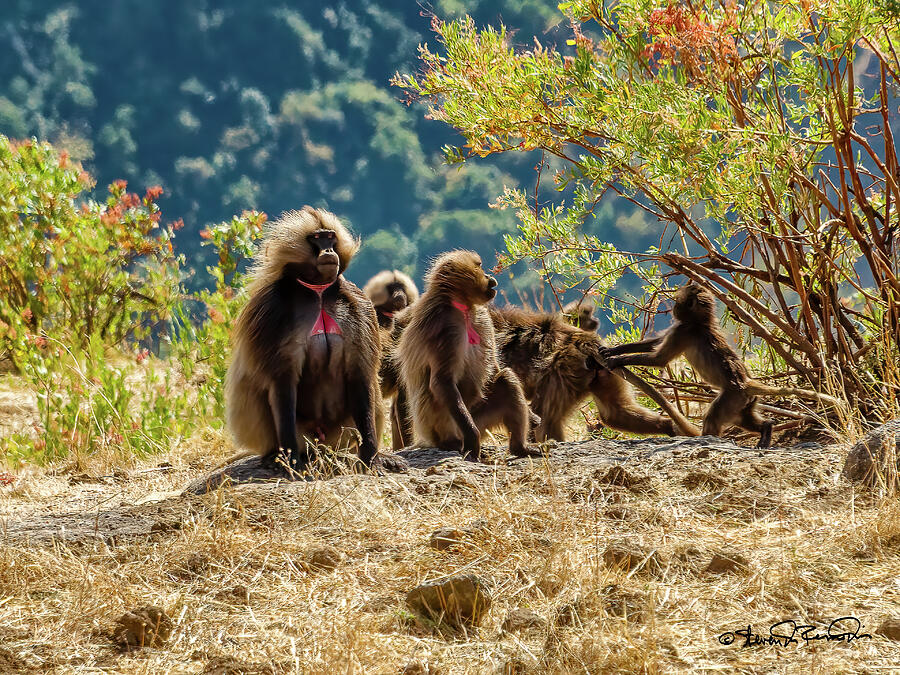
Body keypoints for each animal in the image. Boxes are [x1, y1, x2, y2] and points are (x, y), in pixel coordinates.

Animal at [224, 206, 383, 470]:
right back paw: (274, 456)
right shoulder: (272, 311)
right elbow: (282, 381)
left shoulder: (360, 305)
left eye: (330, 237)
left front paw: (372, 456)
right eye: (317, 238)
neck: (318, 293)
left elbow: (360, 375)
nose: (329, 251)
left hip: (338, 435)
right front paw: (291, 461)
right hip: (302, 435)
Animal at [396, 250, 534, 460]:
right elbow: (442, 381)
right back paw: (458, 444)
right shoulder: (444, 327)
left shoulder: (484, 318)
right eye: (479, 266)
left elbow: (495, 368)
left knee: (506, 379)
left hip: (479, 417)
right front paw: (472, 439)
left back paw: (520, 449)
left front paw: (533, 416)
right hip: (447, 425)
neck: (463, 308)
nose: (491, 278)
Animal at [490, 306, 682, 441]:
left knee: (545, 418)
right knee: (614, 414)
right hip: (601, 372)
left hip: (563, 370)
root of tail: (583, 340)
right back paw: (668, 427)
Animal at [601, 283, 844, 448]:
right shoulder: (681, 329)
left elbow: (659, 358)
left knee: (713, 418)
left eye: (679, 303)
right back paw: (766, 429)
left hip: (731, 398)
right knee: (745, 419)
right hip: (744, 403)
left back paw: (706, 438)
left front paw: (618, 360)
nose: (673, 310)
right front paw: (614, 350)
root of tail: (746, 383)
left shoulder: (683, 331)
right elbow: (654, 344)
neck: (700, 322)